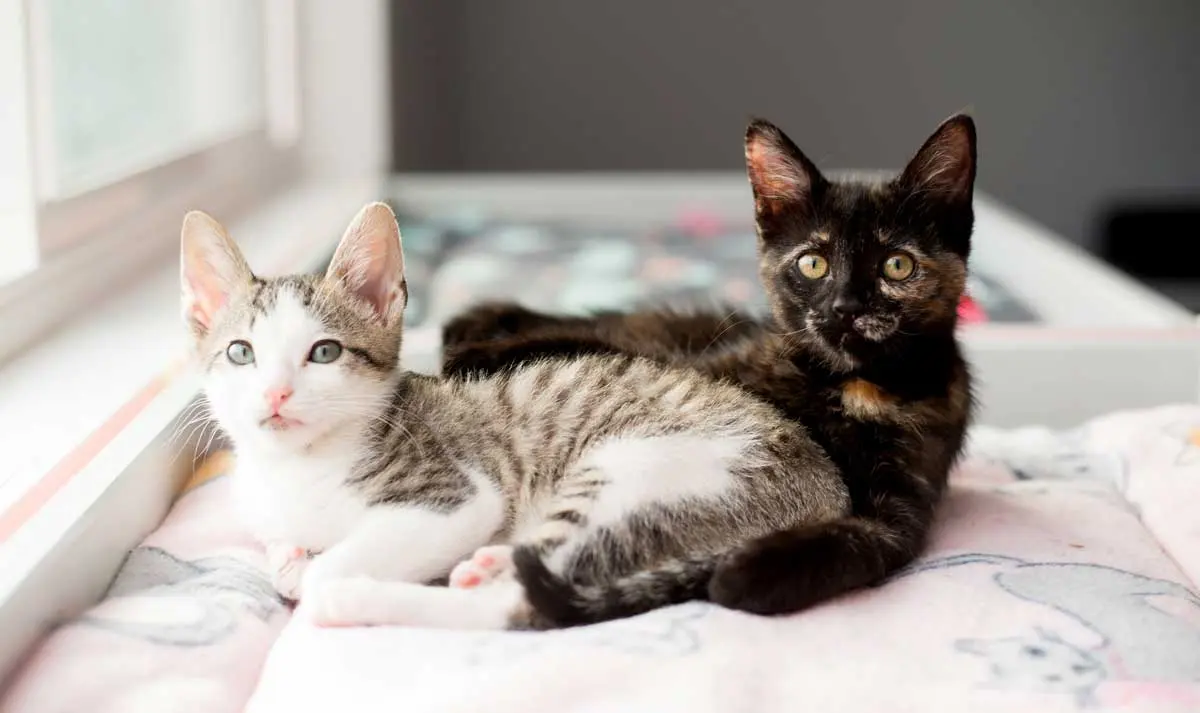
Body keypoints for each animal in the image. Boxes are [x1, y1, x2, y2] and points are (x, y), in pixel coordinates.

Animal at [182, 201, 849, 628]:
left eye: (324, 353)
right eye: (241, 353)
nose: (275, 395)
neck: (301, 466)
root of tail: (830, 495)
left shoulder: (456, 497)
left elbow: (342, 559)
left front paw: (323, 576)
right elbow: (280, 550)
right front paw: (291, 560)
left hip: (639, 468)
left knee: (522, 606)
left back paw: (364, 603)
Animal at [439, 114, 974, 614]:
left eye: (896, 266)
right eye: (813, 263)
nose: (846, 307)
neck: (851, 384)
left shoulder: (903, 510)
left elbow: (854, 545)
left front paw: (741, 570)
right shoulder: (701, 376)